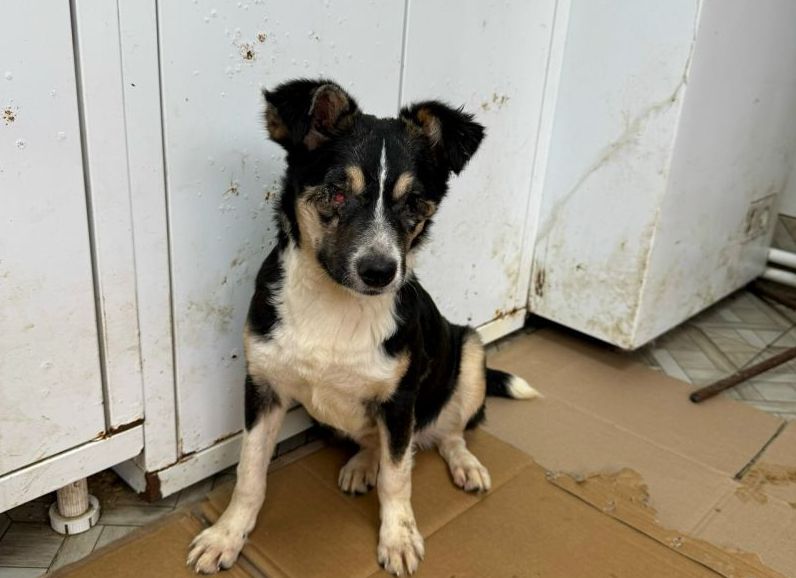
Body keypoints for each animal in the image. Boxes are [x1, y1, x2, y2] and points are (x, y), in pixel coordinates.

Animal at [187, 78, 538, 576]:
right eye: (336, 193)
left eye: (414, 204)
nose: (379, 272)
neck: (336, 305)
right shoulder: (262, 388)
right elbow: (249, 473)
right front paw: (227, 535)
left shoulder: (400, 401)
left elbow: (398, 479)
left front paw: (398, 537)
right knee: (380, 442)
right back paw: (362, 464)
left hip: (469, 353)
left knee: (447, 433)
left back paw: (464, 465)